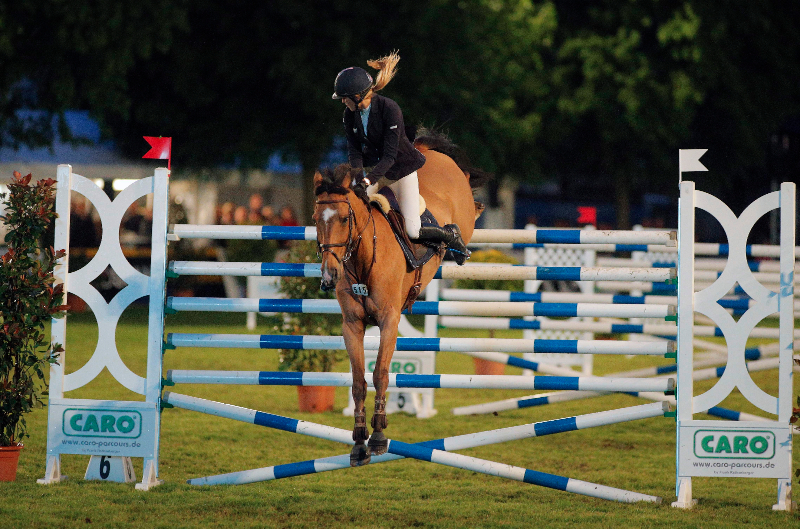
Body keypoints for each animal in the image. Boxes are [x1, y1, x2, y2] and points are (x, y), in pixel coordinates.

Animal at [310, 132, 488, 466]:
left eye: (344, 218)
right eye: (316, 218)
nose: (329, 274)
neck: (363, 257)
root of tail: (427, 151)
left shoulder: (389, 320)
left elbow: (380, 374)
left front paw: (378, 437)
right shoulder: (352, 325)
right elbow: (358, 381)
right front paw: (359, 443)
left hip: (460, 213)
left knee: (462, 215)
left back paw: (458, 237)